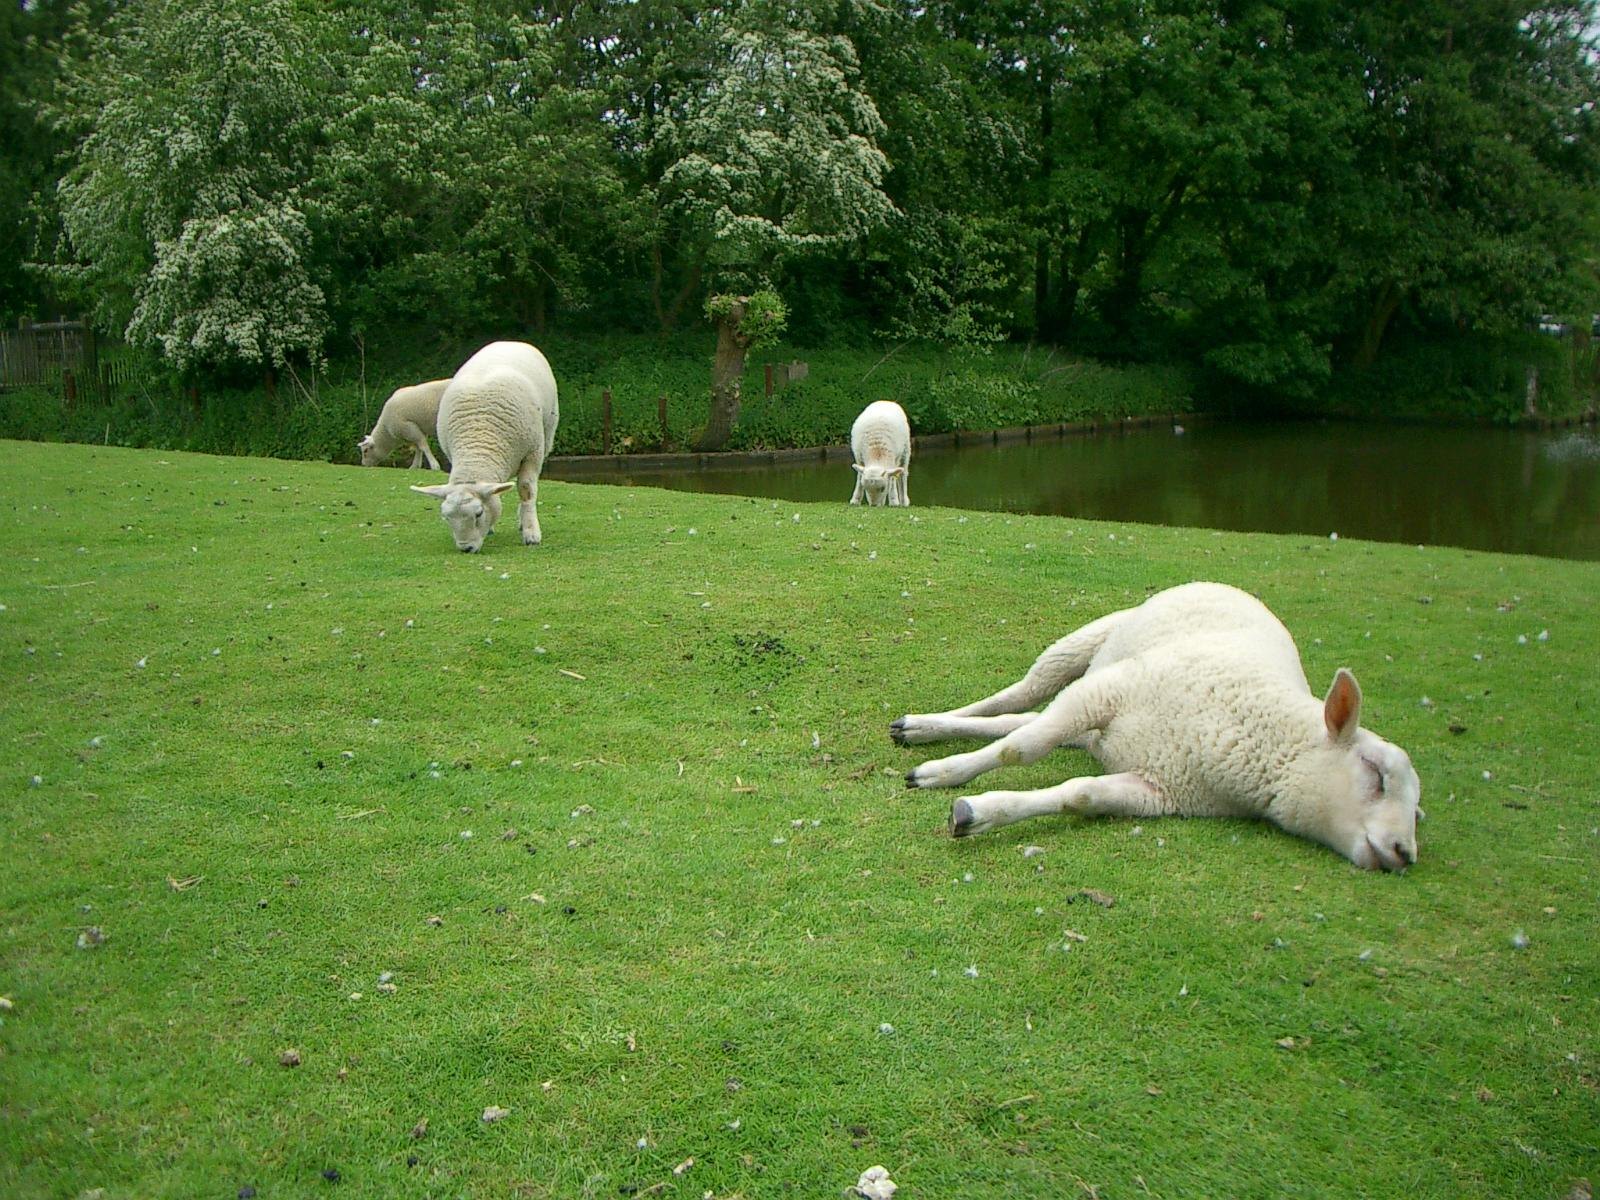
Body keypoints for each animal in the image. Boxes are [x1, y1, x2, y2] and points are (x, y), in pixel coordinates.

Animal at [409, 341, 559, 552]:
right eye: (446, 518)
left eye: (479, 513)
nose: (466, 549)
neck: (478, 442)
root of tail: (509, 342)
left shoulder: (533, 453)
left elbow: (526, 490)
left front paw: (531, 533)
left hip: (547, 435)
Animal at [890, 582, 1422, 870]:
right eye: (1376, 773)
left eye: (1417, 814)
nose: (1404, 853)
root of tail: (1230, 587)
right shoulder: (1108, 692)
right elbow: (1019, 751)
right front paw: (945, 774)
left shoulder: (1163, 791)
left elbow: (1080, 794)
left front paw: (977, 813)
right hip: (1087, 646)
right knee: (1015, 699)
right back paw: (923, 727)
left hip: (1095, 727)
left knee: (1018, 718)